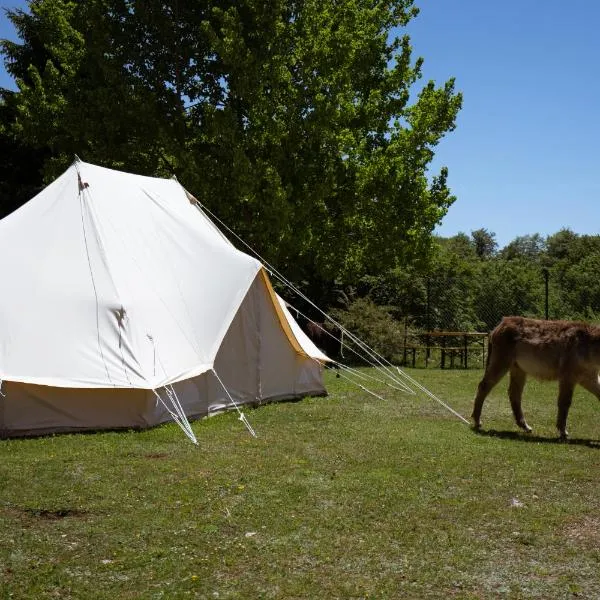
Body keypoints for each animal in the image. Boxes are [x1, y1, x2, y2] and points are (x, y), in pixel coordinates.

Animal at [472, 316, 600, 438]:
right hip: (501, 361)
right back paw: (477, 422)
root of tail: (499, 326)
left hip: (517, 368)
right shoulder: (568, 375)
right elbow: (565, 402)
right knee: (484, 386)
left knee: (514, 393)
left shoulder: (589, 377)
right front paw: (563, 432)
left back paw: (525, 426)